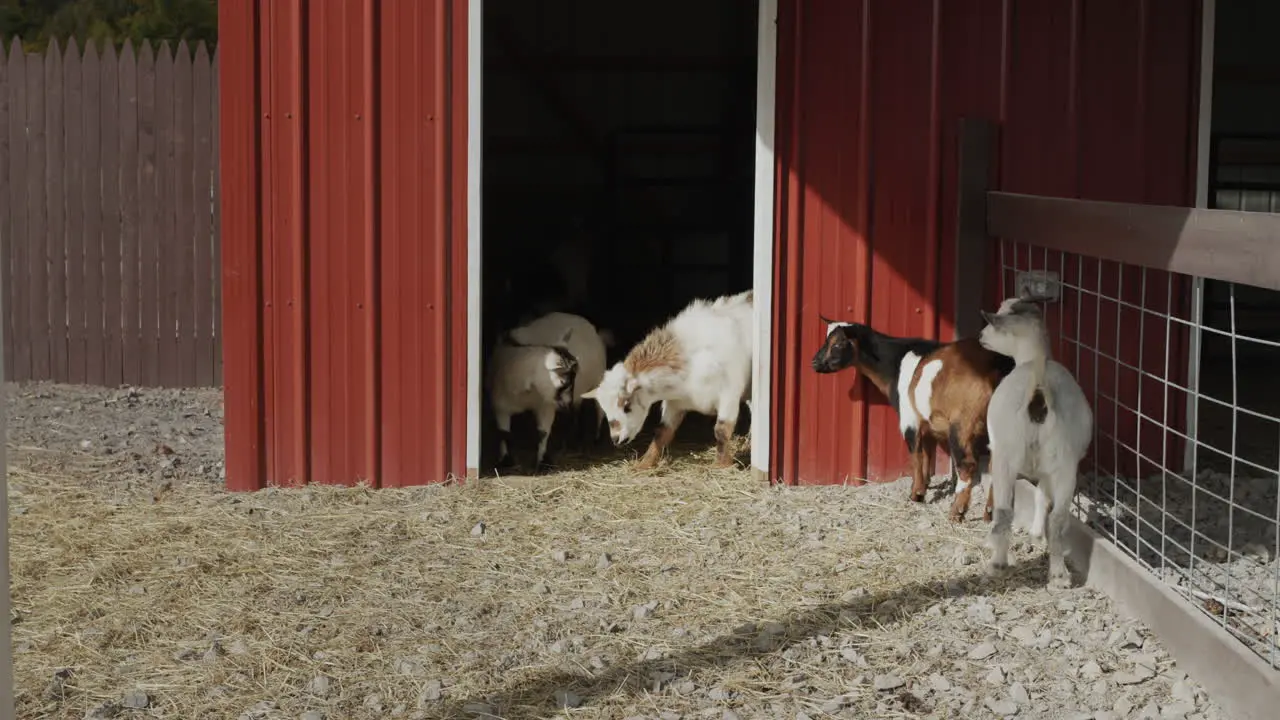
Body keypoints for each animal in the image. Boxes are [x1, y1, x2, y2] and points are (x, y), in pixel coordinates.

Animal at [488, 324, 581, 471]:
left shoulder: (546, 405)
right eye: (563, 383)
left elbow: (543, 432)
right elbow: (504, 433)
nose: (569, 404)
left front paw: (543, 462)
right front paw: (506, 460)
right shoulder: (501, 406)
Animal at [586, 288, 752, 468]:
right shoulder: (675, 403)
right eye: (604, 409)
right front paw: (644, 464)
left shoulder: (729, 393)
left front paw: (722, 465)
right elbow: (662, 432)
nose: (616, 439)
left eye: (627, 406)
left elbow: (721, 430)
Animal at [808, 316, 1018, 517]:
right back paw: (989, 512)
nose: (815, 363)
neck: (896, 363)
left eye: (838, 343)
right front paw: (923, 486)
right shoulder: (927, 421)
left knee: (967, 465)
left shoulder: (909, 418)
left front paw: (916, 494)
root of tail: (996, 366)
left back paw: (956, 512)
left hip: (962, 425)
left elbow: (915, 454)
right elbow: (927, 452)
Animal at [977, 294, 1090, 586]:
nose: (981, 336)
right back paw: (1059, 575)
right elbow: (1041, 496)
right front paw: (1037, 534)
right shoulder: (1049, 470)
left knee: (1004, 512)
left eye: (998, 320)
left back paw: (997, 564)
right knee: (1059, 518)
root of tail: (1038, 394)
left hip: (1006, 456)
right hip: (1064, 463)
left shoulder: (998, 453)